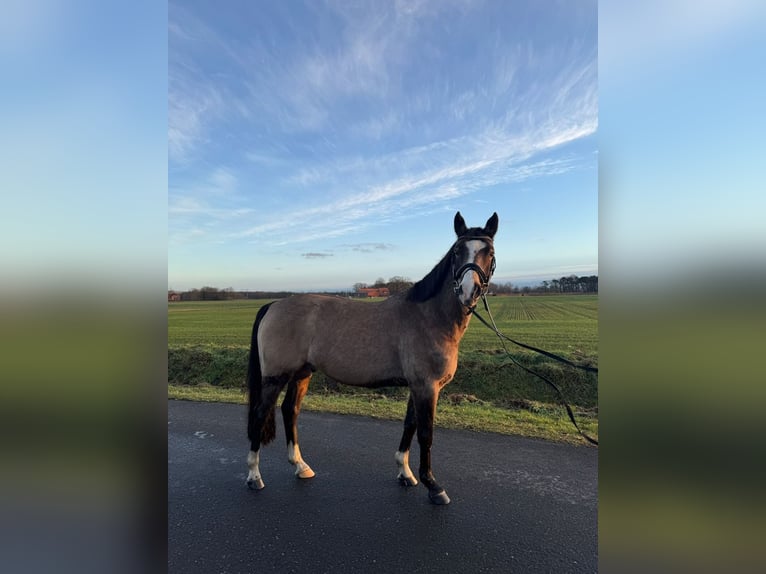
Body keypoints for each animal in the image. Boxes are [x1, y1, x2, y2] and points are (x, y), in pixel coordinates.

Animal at [246, 211, 498, 505]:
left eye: (490, 252)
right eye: (457, 251)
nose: (469, 291)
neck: (429, 317)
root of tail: (274, 305)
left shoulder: (418, 386)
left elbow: (410, 424)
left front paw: (405, 473)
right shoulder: (427, 387)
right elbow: (426, 433)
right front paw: (433, 486)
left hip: (302, 373)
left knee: (290, 411)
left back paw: (300, 466)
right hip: (275, 377)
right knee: (260, 414)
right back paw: (254, 476)